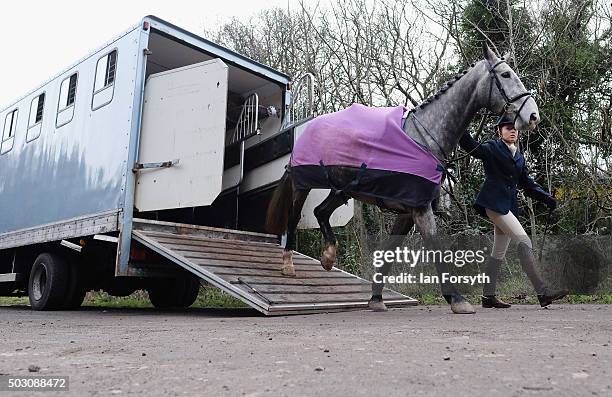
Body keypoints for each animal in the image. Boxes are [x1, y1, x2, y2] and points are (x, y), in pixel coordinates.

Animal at [264, 44, 540, 314]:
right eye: (505, 75)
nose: (533, 116)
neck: (424, 138)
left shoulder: (408, 211)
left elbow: (389, 252)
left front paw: (376, 299)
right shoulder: (420, 209)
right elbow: (435, 248)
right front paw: (456, 299)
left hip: (342, 190)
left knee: (321, 212)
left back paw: (328, 257)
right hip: (303, 186)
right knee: (294, 217)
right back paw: (288, 265)